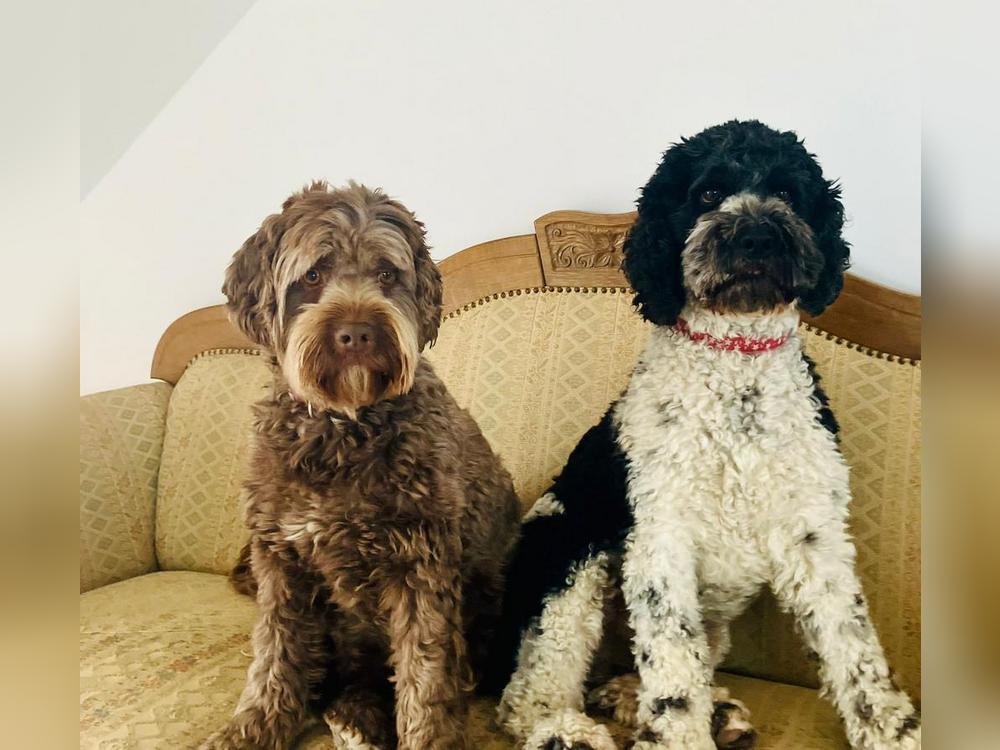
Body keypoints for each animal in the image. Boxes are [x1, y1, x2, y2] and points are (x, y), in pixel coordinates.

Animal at [486, 123, 920, 750]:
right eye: (709, 193)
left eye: (787, 192)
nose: (757, 237)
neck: (738, 371)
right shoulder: (660, 540)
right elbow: (673, 668)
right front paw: (679, 736)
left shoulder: (815, 536)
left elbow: (853, 644)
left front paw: (887, 726)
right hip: (567, 554)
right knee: (527, 694)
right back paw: (566, 732)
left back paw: (685, 709)